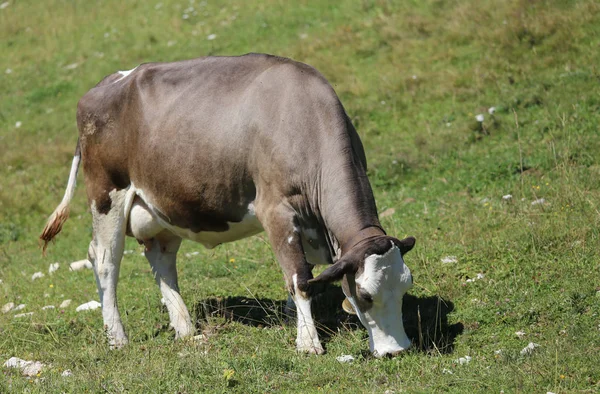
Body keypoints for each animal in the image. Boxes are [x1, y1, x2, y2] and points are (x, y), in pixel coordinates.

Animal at [39, 52, 414, 358]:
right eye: (365, 295)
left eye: (406, 286)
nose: (397, 350)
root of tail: (104, 84)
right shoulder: (275, 210)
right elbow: (299, 277)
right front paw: (308, 342)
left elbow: (306, 273)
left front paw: (295, 320)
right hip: (106, 193)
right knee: (105, 260)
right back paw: (118, 338)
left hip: (163, 204)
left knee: (161, 260)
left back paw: (186, 330)